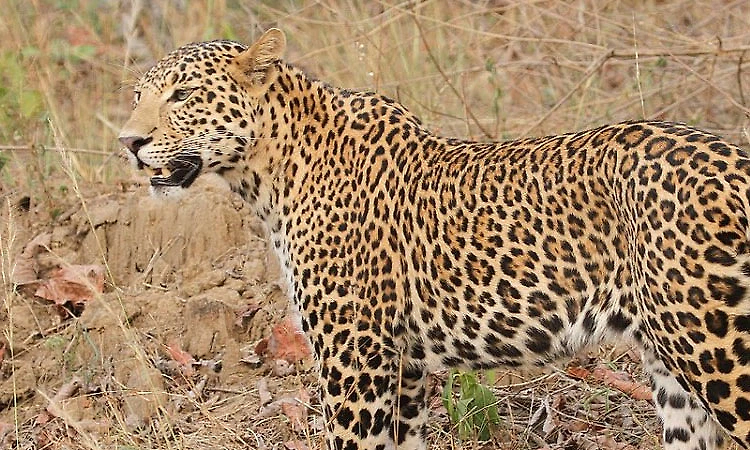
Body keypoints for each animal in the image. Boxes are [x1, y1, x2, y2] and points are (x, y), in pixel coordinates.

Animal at [119, 28, 750, 450]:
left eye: (181, 96)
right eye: (138, 96)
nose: (128, 142)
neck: (270, 174)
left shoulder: (356, 363)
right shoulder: (405, 371)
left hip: (718, 351)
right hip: (674, 377)